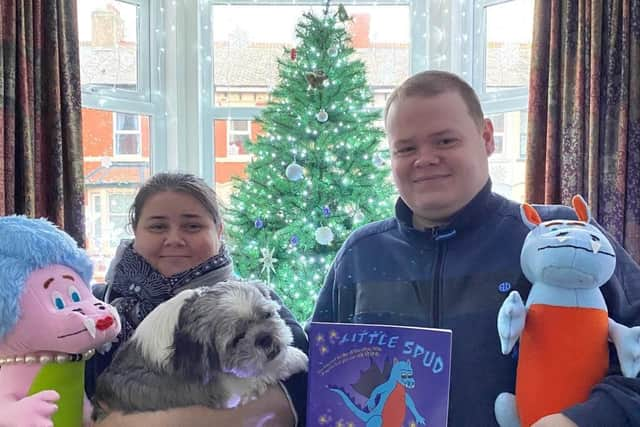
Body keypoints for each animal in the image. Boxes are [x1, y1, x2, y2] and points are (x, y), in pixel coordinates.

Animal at [91, 280, 308, 422]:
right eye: (237, 339)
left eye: (267, 315)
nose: (264, 338)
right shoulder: (227, 388)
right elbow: (263, 371)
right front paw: (296, 357)